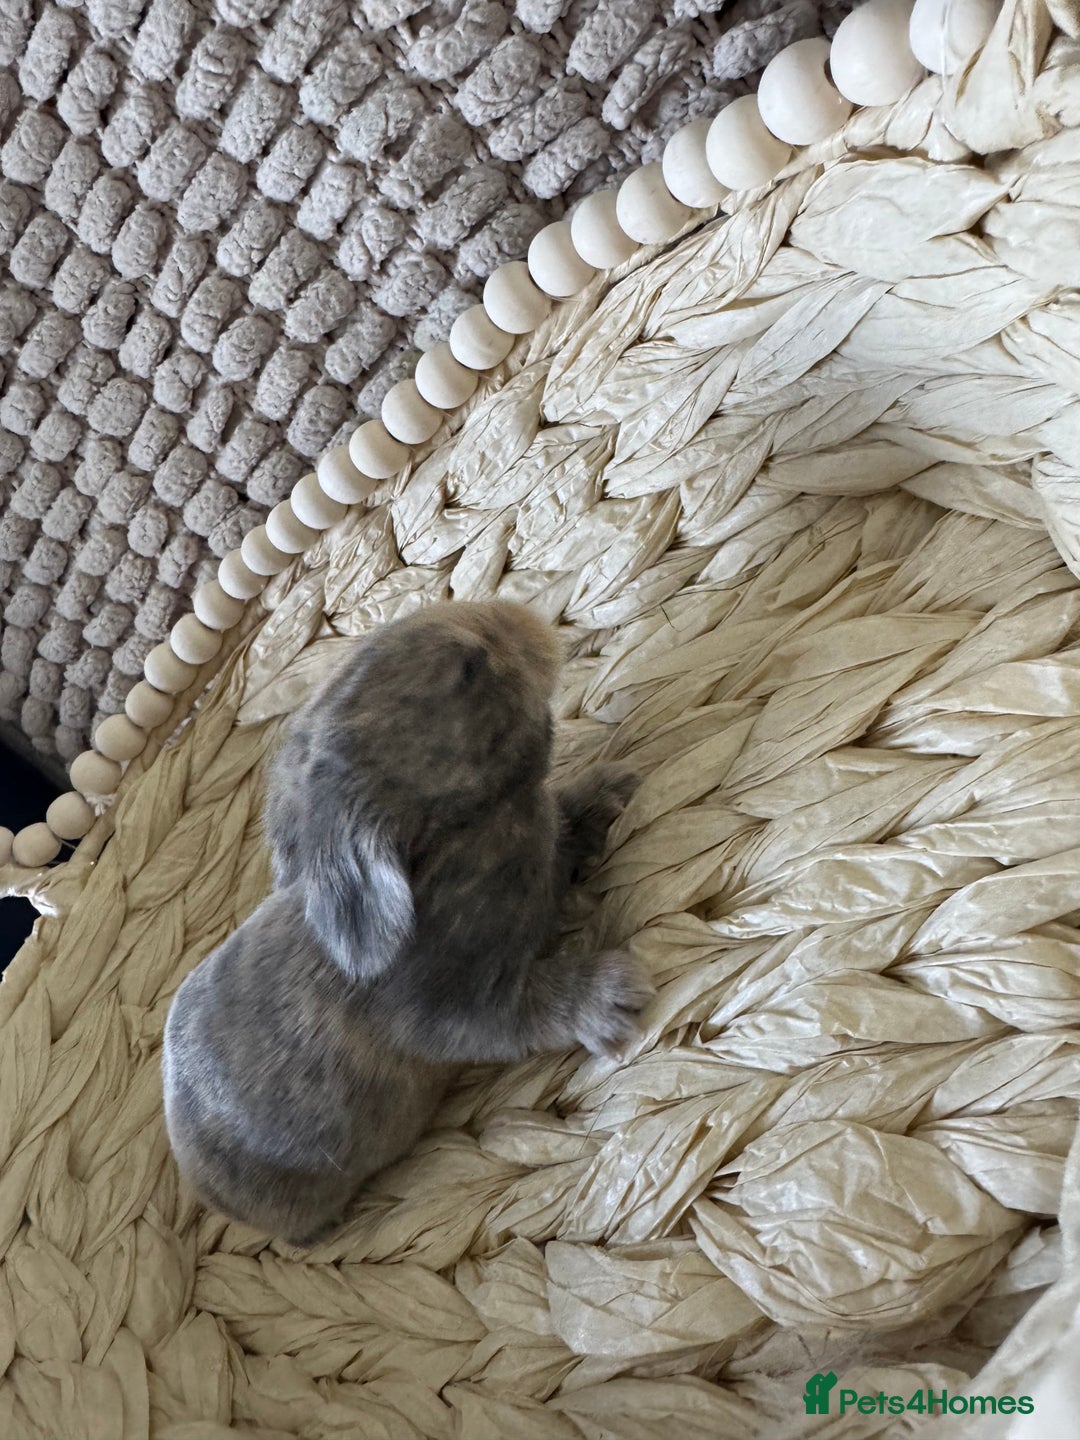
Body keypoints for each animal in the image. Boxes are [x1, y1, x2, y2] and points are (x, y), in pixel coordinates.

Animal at [162, 600, 652, 1246]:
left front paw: (608, 793)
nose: (527, 618)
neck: (454, 837)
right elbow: (533, 1008)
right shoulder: (462, 1010)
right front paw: (613, 999)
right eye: (469, 667)